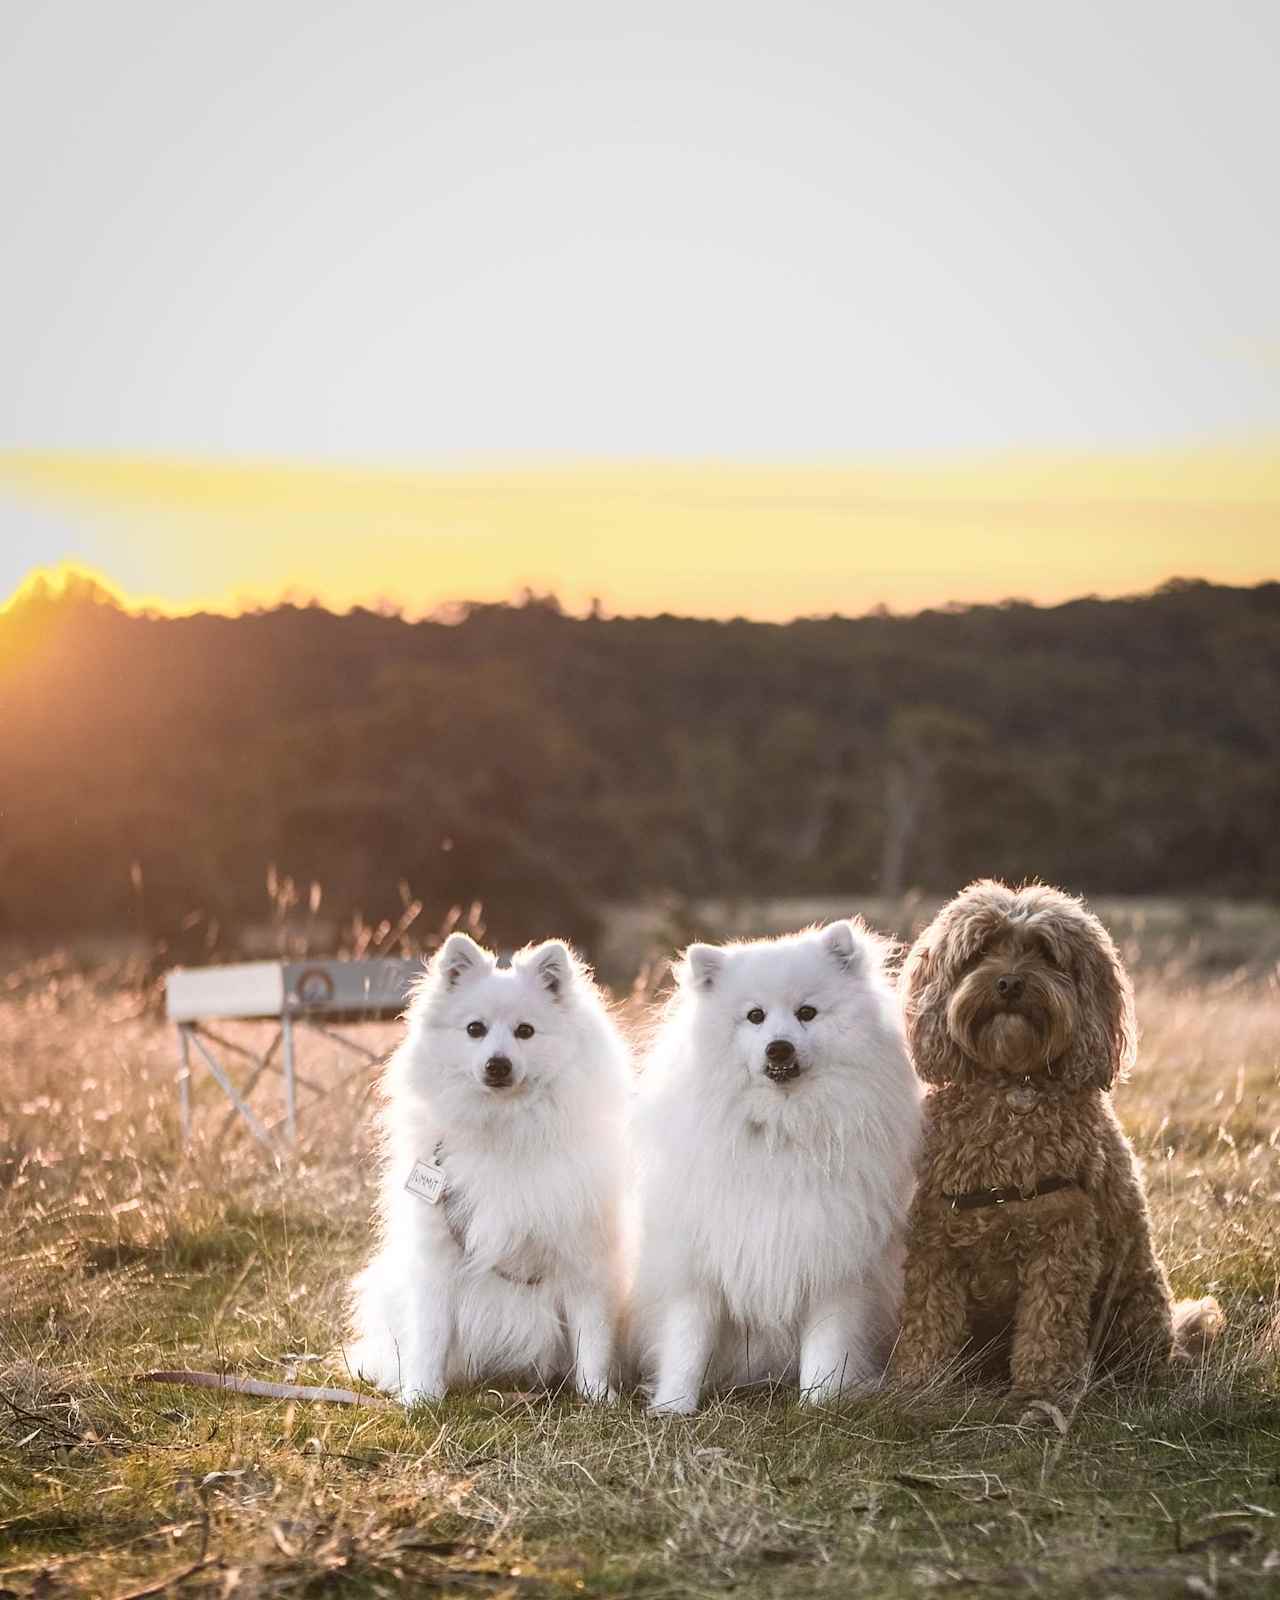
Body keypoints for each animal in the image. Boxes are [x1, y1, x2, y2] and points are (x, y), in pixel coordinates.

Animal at [347, 934, 633, 1408]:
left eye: (525, 1031)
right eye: (474, 1029)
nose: (497, 1063)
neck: (505, 1127)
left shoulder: (583, 1257)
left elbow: (591, 1337)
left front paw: (597, 1397)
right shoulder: (437, 1257)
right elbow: (429, 1334)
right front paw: (422, 1396)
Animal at [630, 921, 921, 1420]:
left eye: (807, 1012)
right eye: (755, 1016)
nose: (779, 1048)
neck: (781, 1129)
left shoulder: (834, 1257)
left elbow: (827, 1344)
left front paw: (819, 1403)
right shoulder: (700, 1259)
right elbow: (688, 1340)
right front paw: (674, 1407)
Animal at [889, 876, 1222, 1414]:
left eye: (1045, 952)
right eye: (980, 950)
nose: (1009, 983)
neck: (1012, 1085)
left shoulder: (1061, 1240)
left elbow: (1048, 1329)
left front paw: (1040, 1397)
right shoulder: (937, 1240)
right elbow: (929, 1319)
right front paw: (920, 1385)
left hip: (1135, 1299)